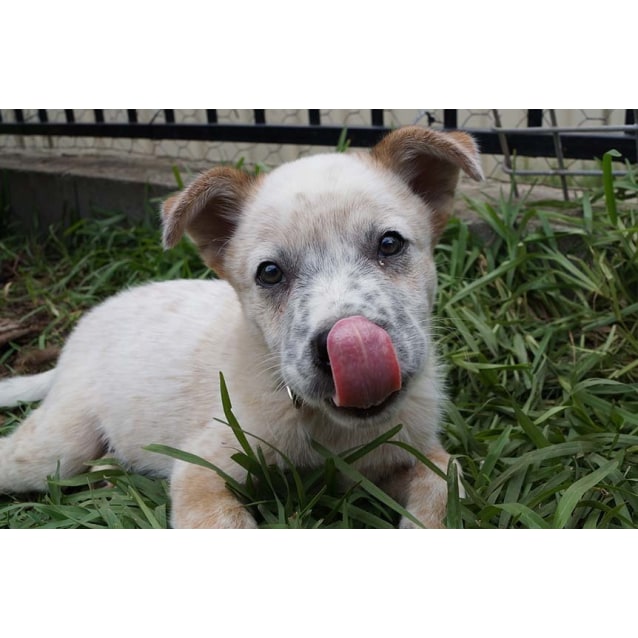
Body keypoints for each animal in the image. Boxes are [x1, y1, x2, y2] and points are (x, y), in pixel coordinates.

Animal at [0, 126, 480, 528]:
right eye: (269, 273)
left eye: (389, 244)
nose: (348, 346)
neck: (334, 431)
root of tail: (75, 342)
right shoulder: (201, 468)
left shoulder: (407, 452)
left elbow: (445, 481)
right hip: (58, 444)